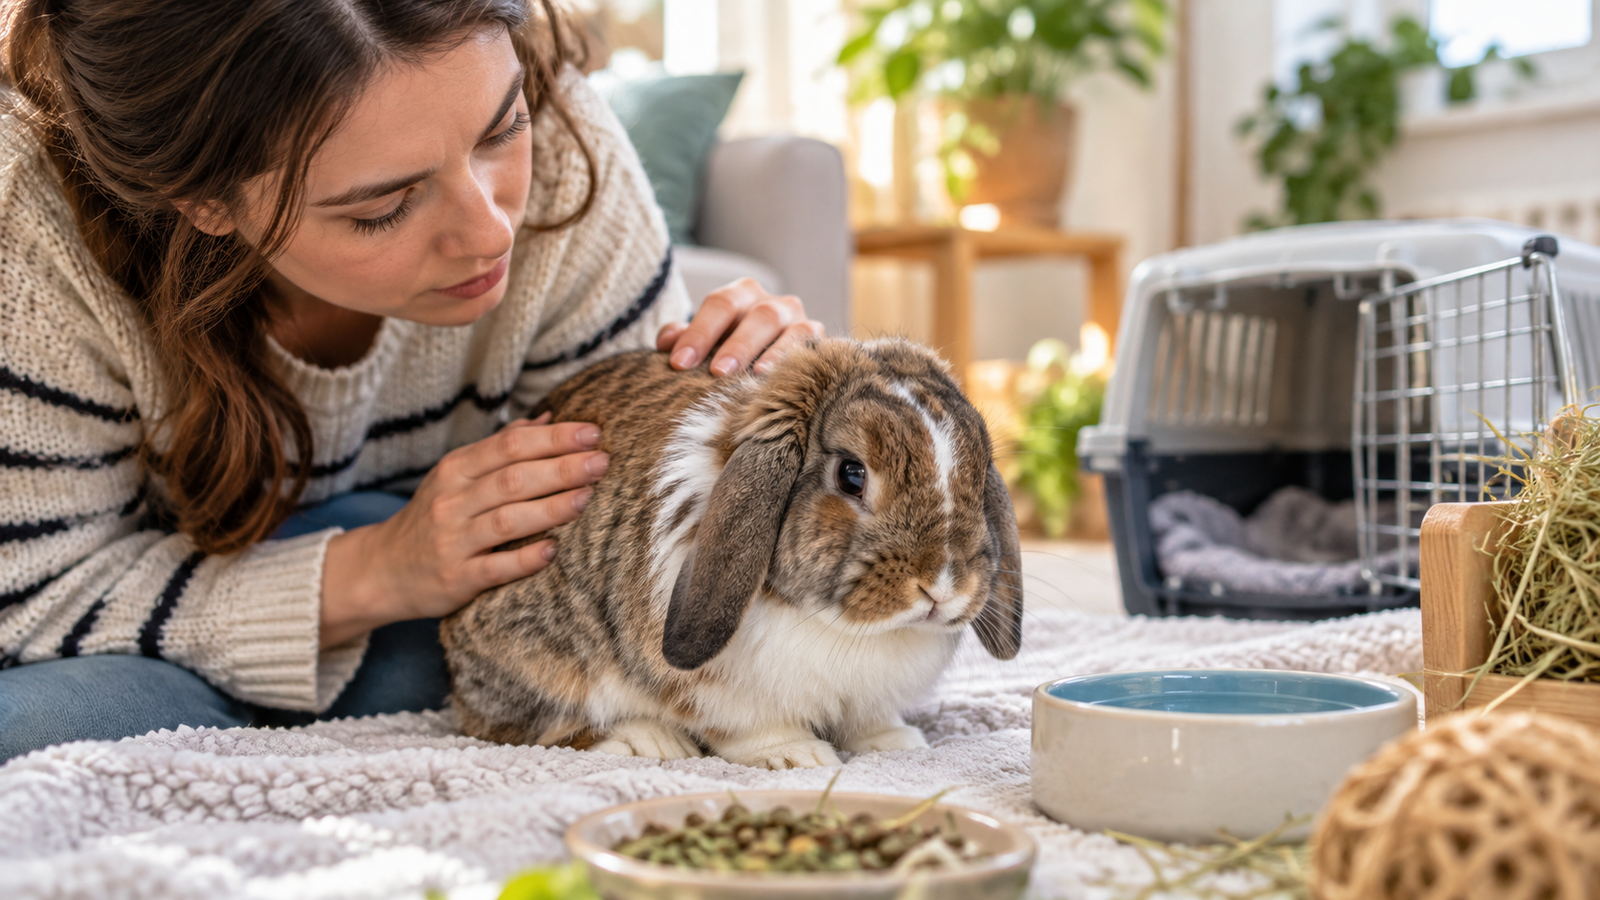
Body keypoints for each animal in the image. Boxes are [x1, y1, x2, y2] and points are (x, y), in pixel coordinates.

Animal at [440, 337, 1023, 769]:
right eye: (851, 475)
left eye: (978, 476)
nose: (942, 587)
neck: (849, 629)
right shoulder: (717, 689)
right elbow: (747, 727)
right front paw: (800, 757)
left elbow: (872, 722)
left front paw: (896, 744)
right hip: (543, 655)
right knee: (520, 726)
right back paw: (648, 742)